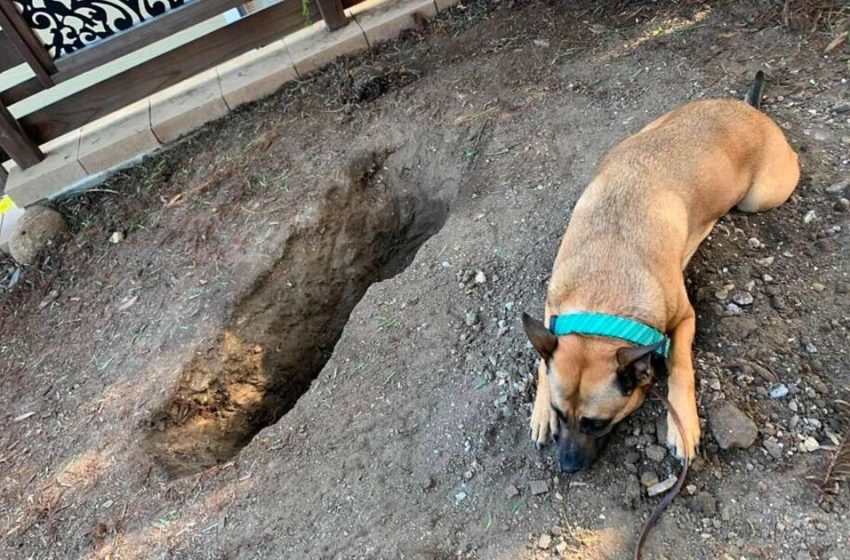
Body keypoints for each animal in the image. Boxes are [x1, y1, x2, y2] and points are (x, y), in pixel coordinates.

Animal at [520, 77, 800, 472]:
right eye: (561, 415)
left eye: (597, 423)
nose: (568, 466)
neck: (604, 289)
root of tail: (750, 110)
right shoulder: (553, 308)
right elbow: (542, 360)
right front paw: (540, 407)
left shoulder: (684, 318)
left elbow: (680, 366)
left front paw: (682, 424)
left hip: (761, 196)